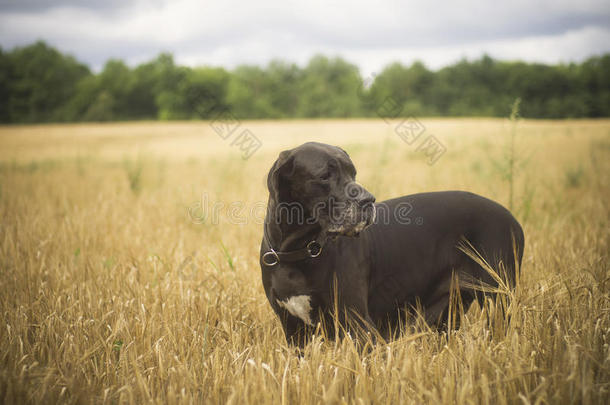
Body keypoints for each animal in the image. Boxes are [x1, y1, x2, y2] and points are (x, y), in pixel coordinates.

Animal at [258, 140, 520, 346]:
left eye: (353, 173)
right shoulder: (294, 331)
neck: (298, 251)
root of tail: (512, 218)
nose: (368, 200)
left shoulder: (358, 325)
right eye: (324, 176)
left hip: (499, 297)